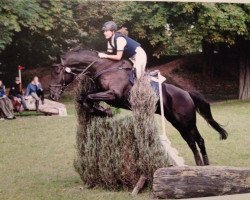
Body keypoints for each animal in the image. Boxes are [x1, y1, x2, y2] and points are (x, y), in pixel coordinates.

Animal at [49, 48, 228, 166]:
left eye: (56, 72)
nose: (52, 95)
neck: (104, 67)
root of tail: (186, 93)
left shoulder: (113, 95)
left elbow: (88, 97)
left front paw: (104, 111)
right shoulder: (103, 93)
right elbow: (84, 98)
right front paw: (100, 111)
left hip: (186, 121)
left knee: (197, 140)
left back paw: (204, 164)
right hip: (177, 123)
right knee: (193, 141)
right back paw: (201, 165)